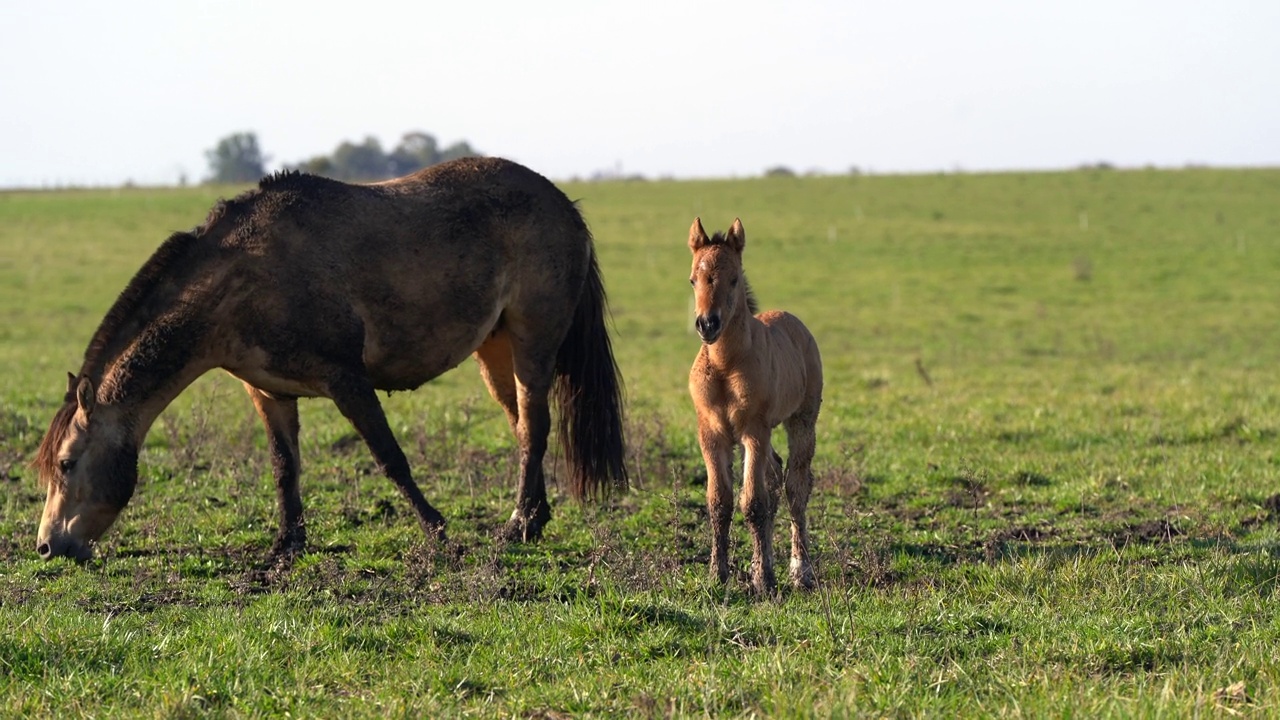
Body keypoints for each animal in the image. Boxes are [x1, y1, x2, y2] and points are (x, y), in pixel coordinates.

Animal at [32, 156, 627, 561]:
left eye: (66, 463)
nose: (47, 546)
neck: (243, 278)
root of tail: (564, 205)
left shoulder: (347, 379)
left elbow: (390, 457)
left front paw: (437, 531)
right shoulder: (268, 392)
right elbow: (284, 467)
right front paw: (286, 545)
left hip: (533, 342)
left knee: (535, 426)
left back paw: (518, 525)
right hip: (495, 349)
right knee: (524, 425)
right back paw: (533, 520)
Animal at [686, 215, 824, 591]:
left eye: (733, 279)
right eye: (693, 280)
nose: (708, 324)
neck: (725, 365)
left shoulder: (754, 431)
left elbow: (754, 504)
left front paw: (764, 581)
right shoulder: (711, 434)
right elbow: (719, 502)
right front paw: (718, 575)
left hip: (802, 421)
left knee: (795, 487)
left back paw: (800, 570)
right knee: (775, 476)